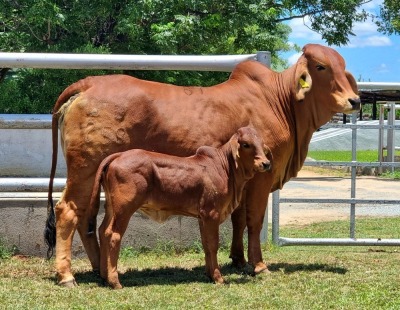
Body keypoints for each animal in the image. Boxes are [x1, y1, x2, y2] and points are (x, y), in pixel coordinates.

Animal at [87, 126, 272, 288]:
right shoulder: (211, 213)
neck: (225, 169)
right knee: (113, 235)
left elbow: (206, 244)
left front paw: (209, 274)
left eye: (262, 144)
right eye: (246, 144)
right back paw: (114, 281)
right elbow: (213, 244)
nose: (266, 163)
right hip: (124, 209)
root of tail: (118, 155)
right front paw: (218, 277)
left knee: (102, 231)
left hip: (111, 208)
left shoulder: (202, 217)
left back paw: (104, 276)